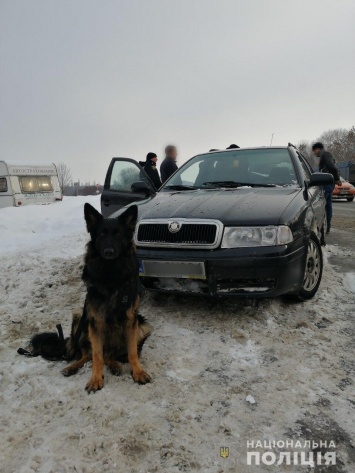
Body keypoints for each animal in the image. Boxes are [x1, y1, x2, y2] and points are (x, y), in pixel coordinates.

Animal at [28, 203, 153, 390]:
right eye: (102, 234)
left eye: (118, 234)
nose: (108, 251)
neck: (111, 274)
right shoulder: (95, 322)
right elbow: (97, 356)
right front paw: (95, 379)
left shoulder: (131, 319)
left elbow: (132, 352)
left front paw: (138, 372)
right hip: (80, 317)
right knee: (88, 354)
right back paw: (72, 367)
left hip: (143, 324)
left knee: (112, 354)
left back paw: (116, 364)